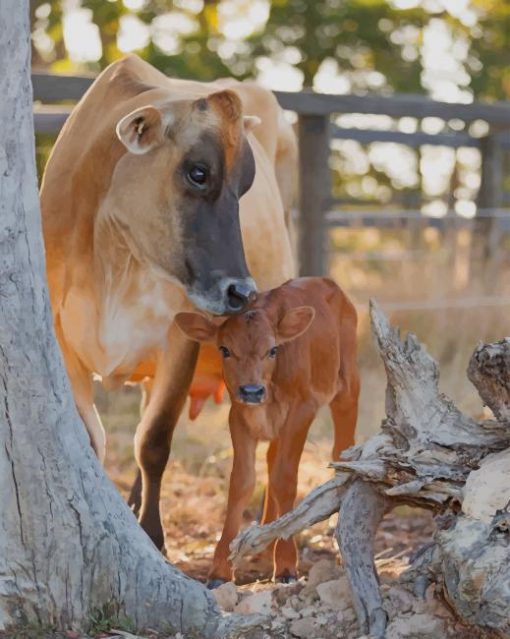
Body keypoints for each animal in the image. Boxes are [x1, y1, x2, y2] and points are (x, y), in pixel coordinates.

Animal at [175, 278, 358, 588]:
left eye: (273, 350)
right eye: (224, 349)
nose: (251, 390)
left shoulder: (302, 409)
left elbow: (285, 478)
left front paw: (285, 565)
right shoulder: (238, 416)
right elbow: (242, 482)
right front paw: (220, 569)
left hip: (347, 385)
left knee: (342, 450)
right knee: (272, 460)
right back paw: (264, 543)